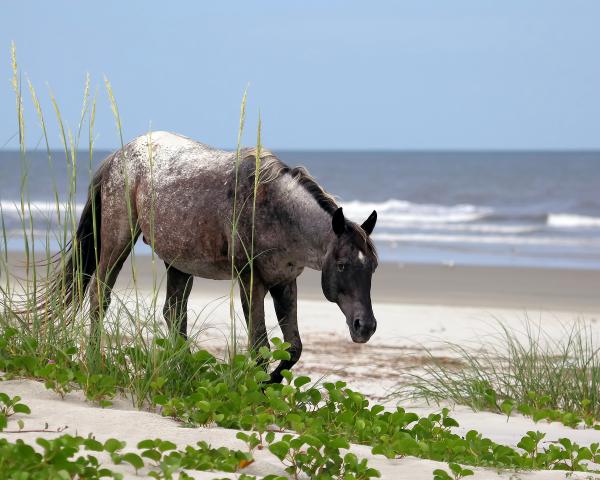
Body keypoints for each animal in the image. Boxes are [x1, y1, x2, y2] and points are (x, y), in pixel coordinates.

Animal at [43, 131, 380, 382]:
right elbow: (259, 346)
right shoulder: (250, 281)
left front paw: (269, 383)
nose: (365, 326)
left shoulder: (284, 283)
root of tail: (118, 156)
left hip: (179, 262)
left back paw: (184, 370)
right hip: (118, 242)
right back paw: (94, 362)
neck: (273, 207)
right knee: (100, 296)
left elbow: (293, 348)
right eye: (342, 264)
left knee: (174, 314)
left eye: (373, 267)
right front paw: (255, 391)